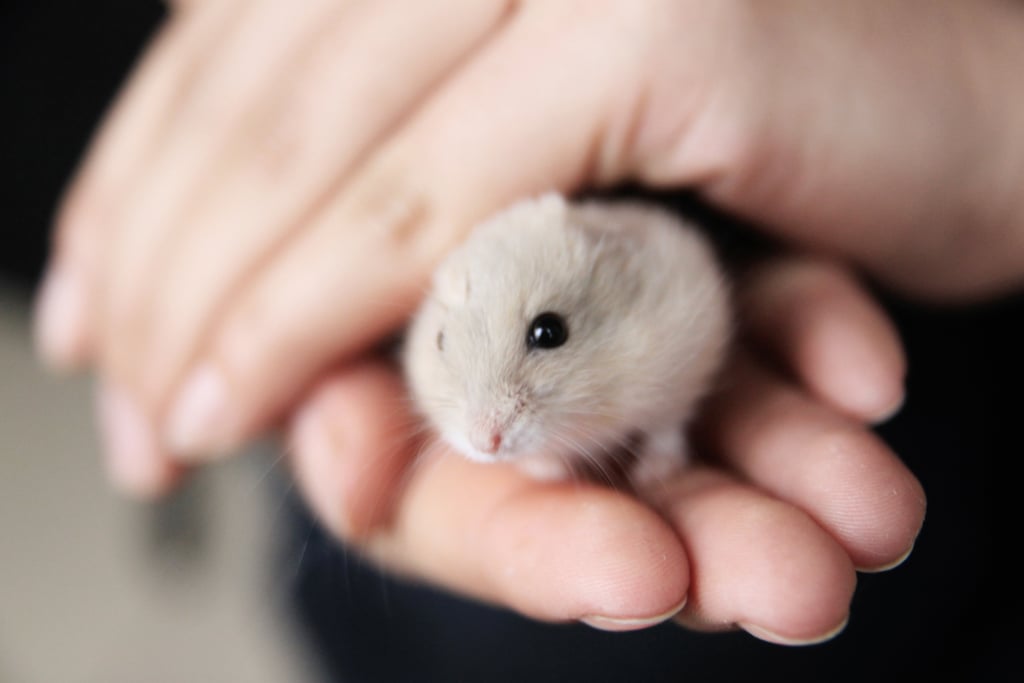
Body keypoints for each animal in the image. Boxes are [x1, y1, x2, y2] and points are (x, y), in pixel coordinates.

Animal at [403, 193, 732, 490]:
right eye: (440, 340)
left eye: (549, 331)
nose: (485, 443)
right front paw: (553, 472)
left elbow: (667, 427)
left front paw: (651, 475)